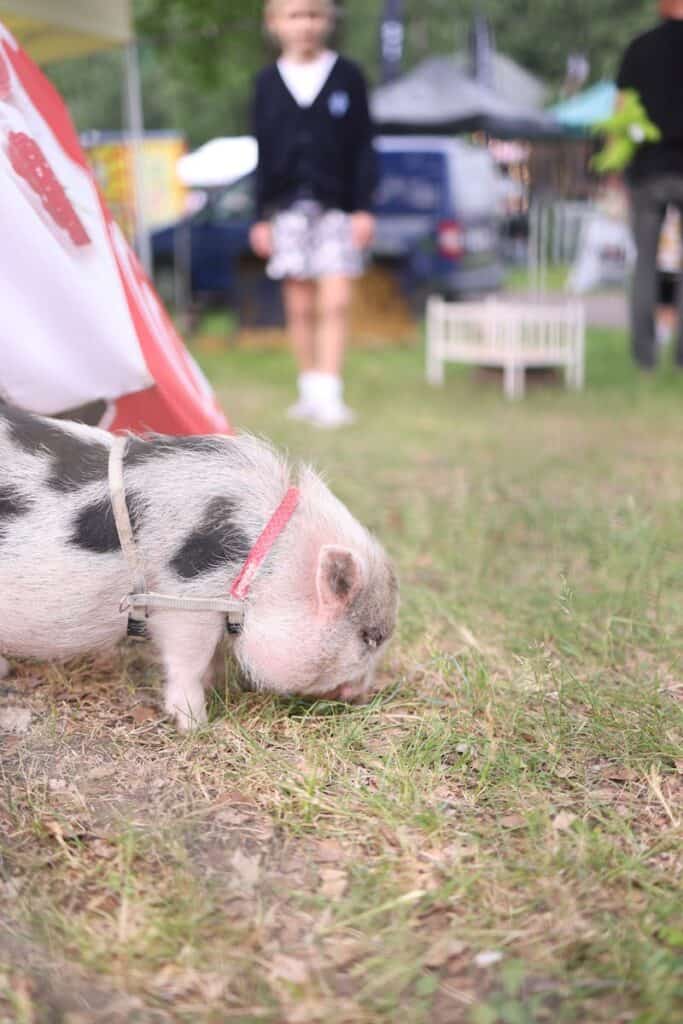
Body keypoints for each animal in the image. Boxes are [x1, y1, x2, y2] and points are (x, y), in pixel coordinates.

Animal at [0, 402, 398, 731]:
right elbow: (188, 660)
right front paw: (196, 724)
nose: (362, 694)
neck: (267, 562)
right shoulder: (186, 599)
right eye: (371, 638)